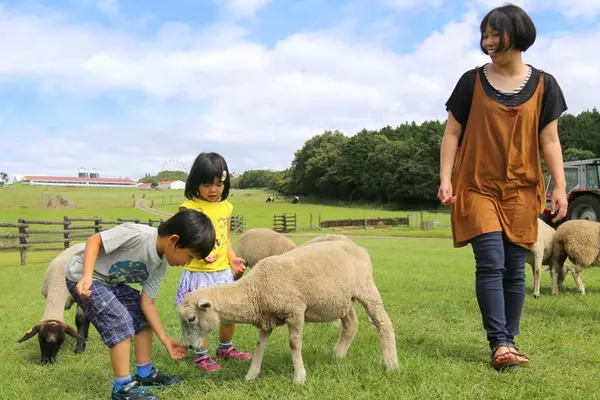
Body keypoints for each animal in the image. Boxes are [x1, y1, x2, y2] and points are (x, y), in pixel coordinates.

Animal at [175, 239, 398, 382]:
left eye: (192, 318)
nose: (190, 346)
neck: (255, 289)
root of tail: (357, 247)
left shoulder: (295, 312)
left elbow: (294, 344)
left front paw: (299, 377)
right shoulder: (267, 319)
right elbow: (259, 346)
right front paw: (251, 375)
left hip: (366, 288)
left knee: (383, 323)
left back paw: (391, 364)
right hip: (341, 299)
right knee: (351, 325)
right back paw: (338, 356)